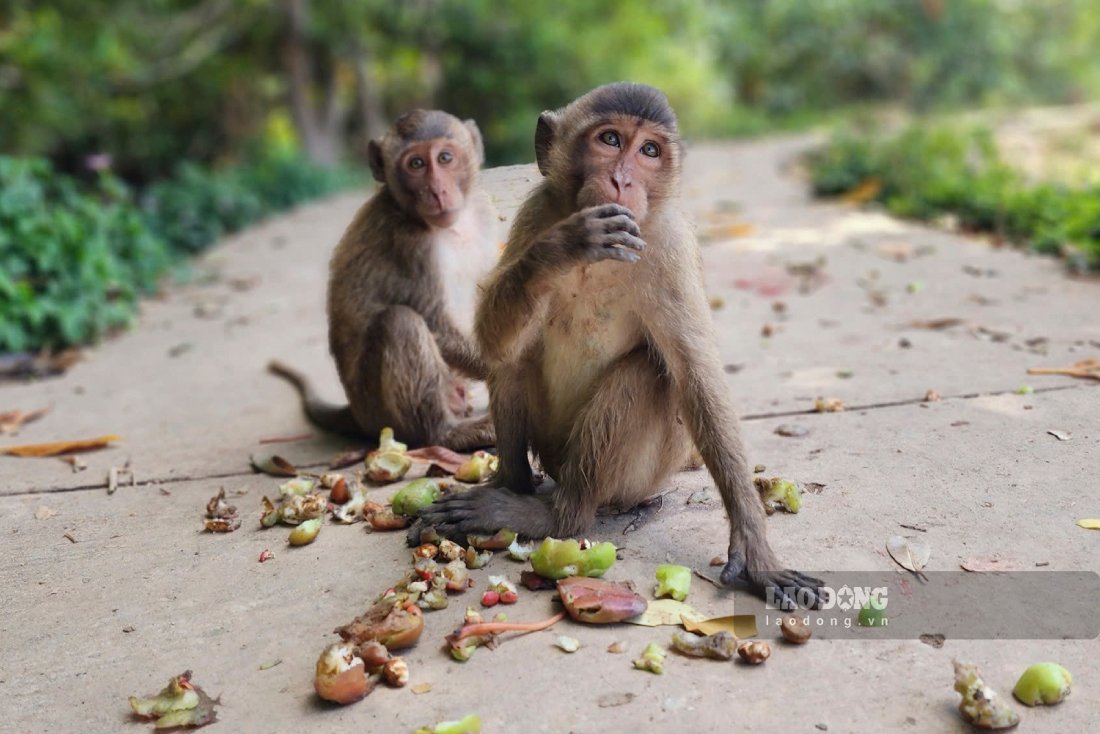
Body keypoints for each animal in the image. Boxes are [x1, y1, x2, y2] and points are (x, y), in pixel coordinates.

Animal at [269, 110, 498, 451]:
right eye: (416, 164)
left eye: (445, 158)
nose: (437, 191)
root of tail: (357, 412)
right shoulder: (410, 244)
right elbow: (434, 323)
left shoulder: (483, 212)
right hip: (379, 410)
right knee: (400, 322)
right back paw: (445, 433)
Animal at [416, 83, 822, 607]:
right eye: (610, 140)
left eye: (649, 151)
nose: (622, 179)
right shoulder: (538, 210)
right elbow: (495, 339)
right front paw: (563, 246)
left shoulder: (669, 244)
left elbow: (695, 375)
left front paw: (755, 553)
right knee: (512, 356)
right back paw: (511, 485)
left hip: (636, 478)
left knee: (649, 371)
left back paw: (556, 516)